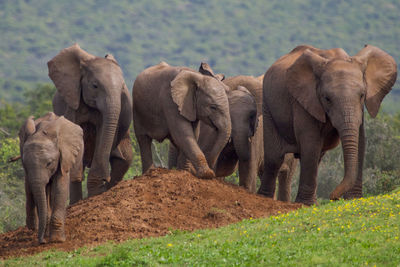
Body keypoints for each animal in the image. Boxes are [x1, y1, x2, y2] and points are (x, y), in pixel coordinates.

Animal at [19, 112, 84, 244]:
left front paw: (57, 240)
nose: (42, 241)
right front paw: (49, 237)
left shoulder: (64, 157)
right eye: (25, 164)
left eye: (49, 163)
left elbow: (60, 188)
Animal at [48, 43, 133, 201]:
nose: (105, 178)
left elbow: (103, 134)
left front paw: (97, 190)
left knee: (124, 161)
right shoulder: (72, 101)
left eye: (122, 89)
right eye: (95, 86)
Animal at [260, 45, 396, 206]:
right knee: (275, 158)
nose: (333, 197)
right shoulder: (303, 100)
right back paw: (263, 198)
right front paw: (305, 205)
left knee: (316, 157)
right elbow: (310, 142)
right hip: (268, 107)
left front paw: (354, 199)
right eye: (327, 99)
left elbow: (360, 141)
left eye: (362, 95)